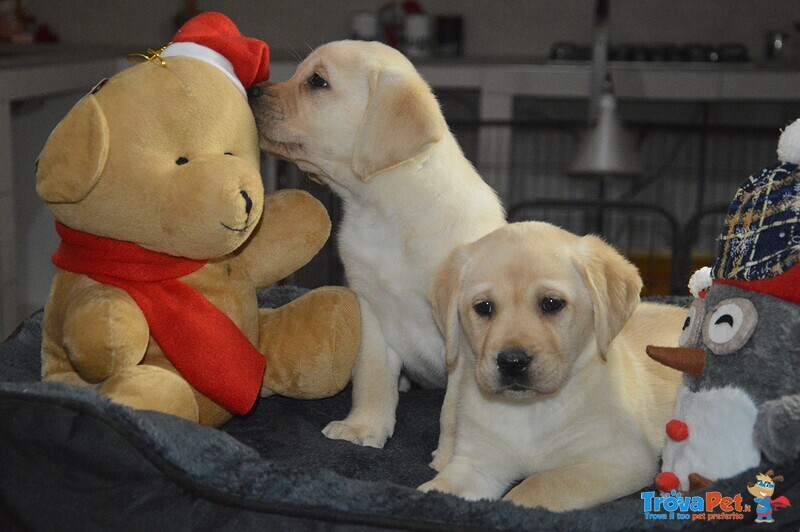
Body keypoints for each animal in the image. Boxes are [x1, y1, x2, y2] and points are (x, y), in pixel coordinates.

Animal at [248, 39, 506, 446]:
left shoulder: (463, 336)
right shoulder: (371, 312)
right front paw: (362, 428)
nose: (251, 90)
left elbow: (456, 409)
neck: (386, 215)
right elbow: (372, 379)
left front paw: (453, 454)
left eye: (317, 82)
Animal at [418, 221, 680, 512]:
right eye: (483, 307)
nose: (512, 362)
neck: (529, 410)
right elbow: (438, 487)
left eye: (551, 303)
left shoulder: (619, 460)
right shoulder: (477, 464)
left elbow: (537, 485)